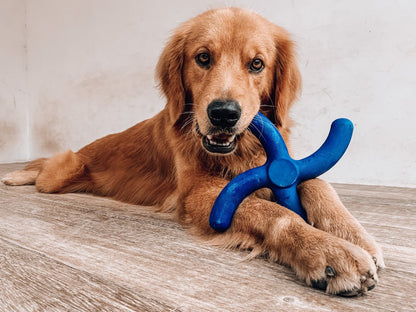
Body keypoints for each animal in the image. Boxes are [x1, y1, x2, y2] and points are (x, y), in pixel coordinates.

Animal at [1, 6, 384, 294]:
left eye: (257, 64)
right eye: (203, 57)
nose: (224, 114)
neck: (238, 152)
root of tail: (84, 151)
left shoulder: (280, 167)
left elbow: (319, 184)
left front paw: (352, 235)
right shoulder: (200, 194)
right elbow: (276, 212)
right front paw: (327, 252)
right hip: (61, 173)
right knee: (42, 167)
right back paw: (15, 175)